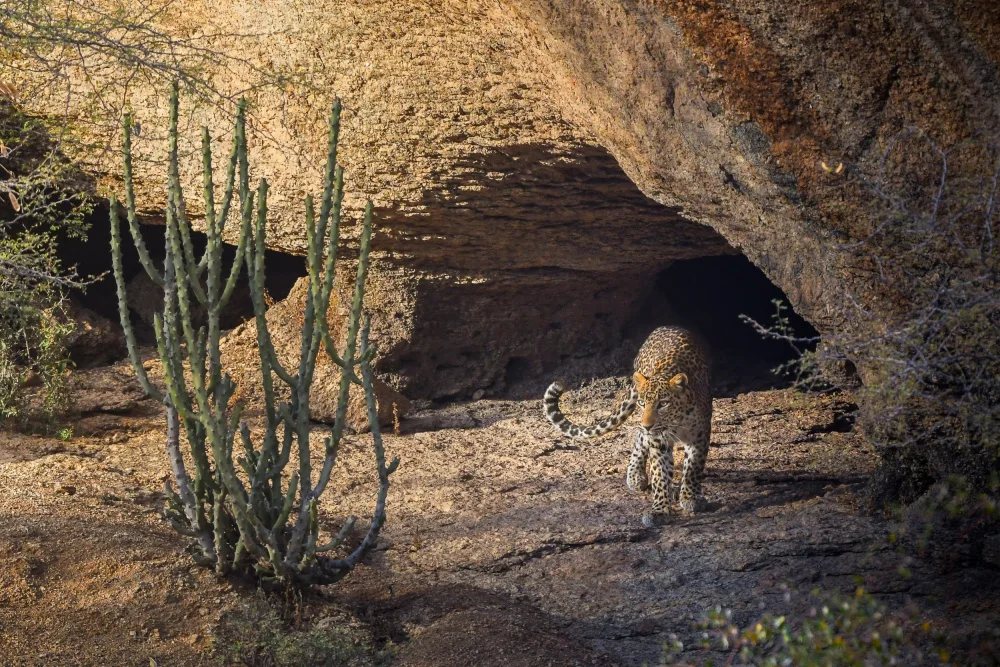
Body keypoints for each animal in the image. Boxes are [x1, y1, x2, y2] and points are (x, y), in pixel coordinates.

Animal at [542, 325, 712, 526]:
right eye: (642, 403)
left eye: (663, 404)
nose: (648, 425)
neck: (676, 421)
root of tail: (665, 327)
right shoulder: (658, 440)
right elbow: (660, 474)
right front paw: (660, 509)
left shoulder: (700, 434)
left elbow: (693, 468)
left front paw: (690, 497)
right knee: (640, 439)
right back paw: (635, 475)